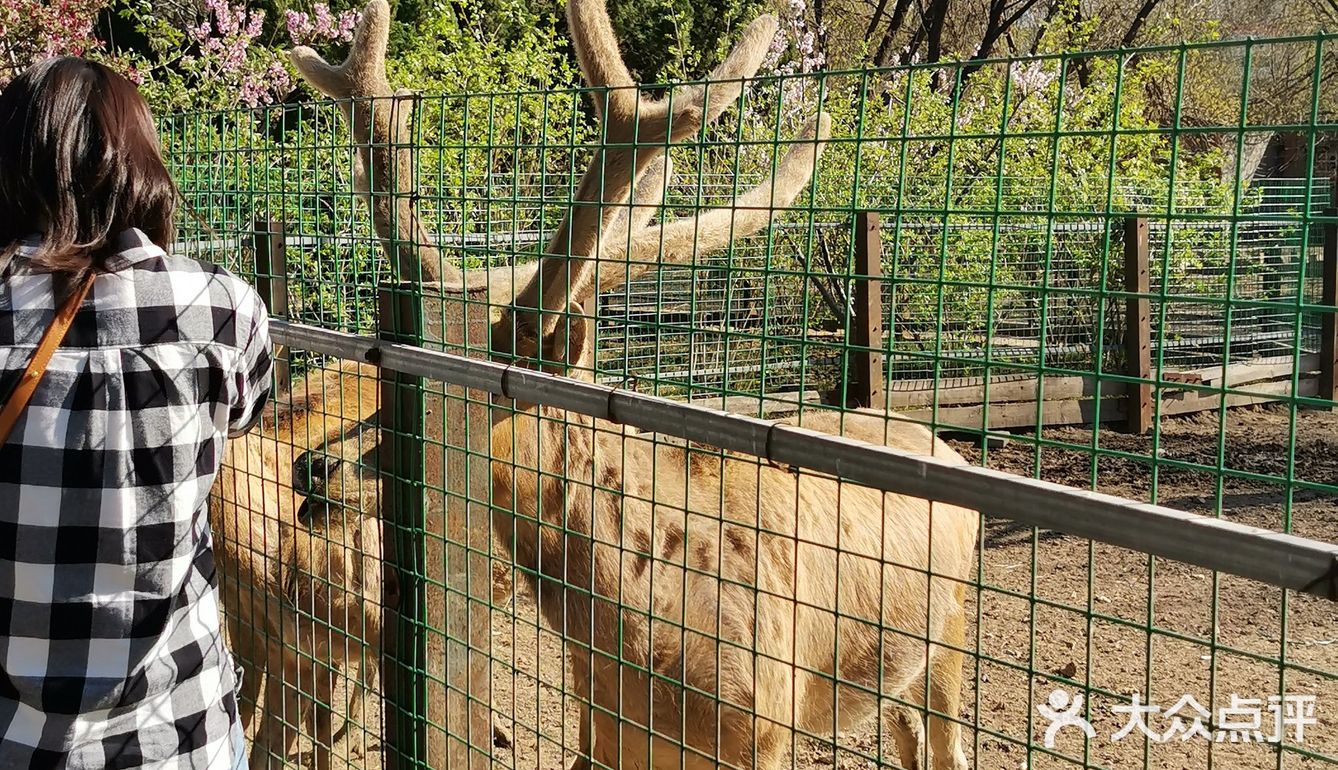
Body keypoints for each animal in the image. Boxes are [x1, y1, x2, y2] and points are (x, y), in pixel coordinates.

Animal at [290, 0, 984, 765]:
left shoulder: (768, 730)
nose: (315, 465)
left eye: (480, 392)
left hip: (952, 631)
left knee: (949, 744)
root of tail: (941, 444)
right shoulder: (598, 731)